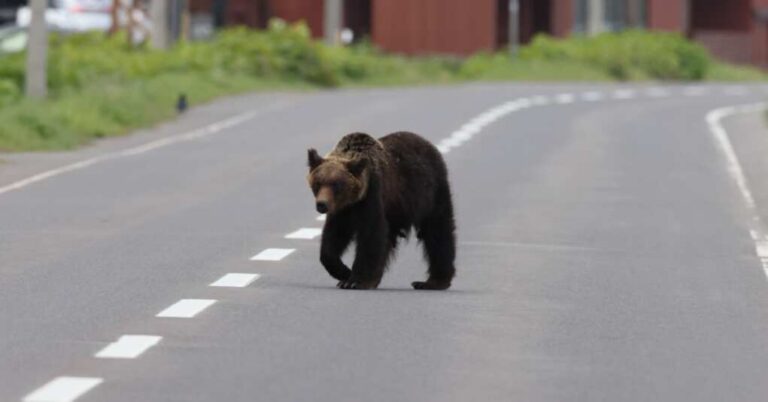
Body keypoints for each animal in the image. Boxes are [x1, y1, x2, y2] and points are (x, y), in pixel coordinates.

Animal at [306, 131, 456, 290]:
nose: (322, 204)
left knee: (438, 231)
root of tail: (426, 142)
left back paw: (433, 281)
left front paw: (355, 280)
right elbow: (334, 236)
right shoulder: (343, 210)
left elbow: (371, 234)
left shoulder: (373, 195)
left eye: (336, 185)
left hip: (430, 193)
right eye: (318, 183)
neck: (354, 200)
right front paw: (343, 272)